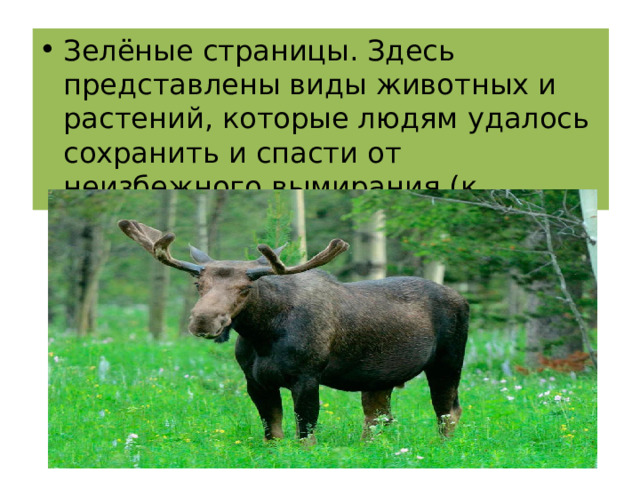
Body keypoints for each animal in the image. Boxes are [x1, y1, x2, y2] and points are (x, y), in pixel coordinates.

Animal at [118, 219, 469, 443]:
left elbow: (305, 436)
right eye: (198, 284)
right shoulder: (255, 381)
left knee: (448, 411)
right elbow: (272, 435)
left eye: (245, 289)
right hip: (378, 378)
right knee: (378, 418)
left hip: (448, 362)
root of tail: (462, 298)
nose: (204, 321)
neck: (263, 336)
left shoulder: (306, 377)